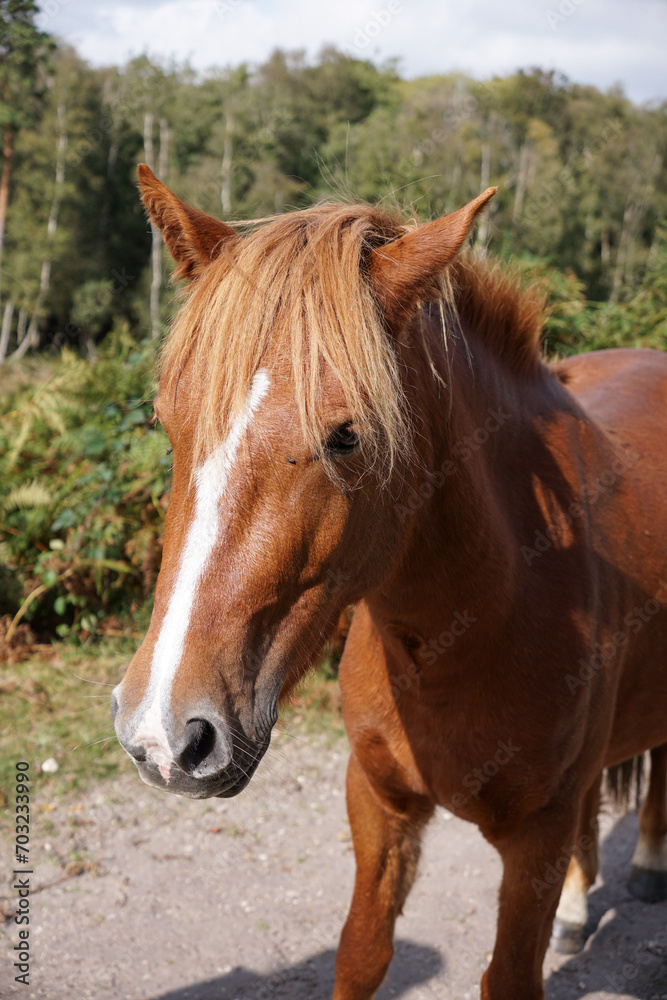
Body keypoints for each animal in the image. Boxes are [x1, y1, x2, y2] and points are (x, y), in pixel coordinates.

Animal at [111, 168, 667, 996]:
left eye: (348, 436)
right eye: (166, 419)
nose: (164, 734)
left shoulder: (533, 836)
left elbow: (508, 974)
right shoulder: (378, 803)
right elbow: (363, 952)